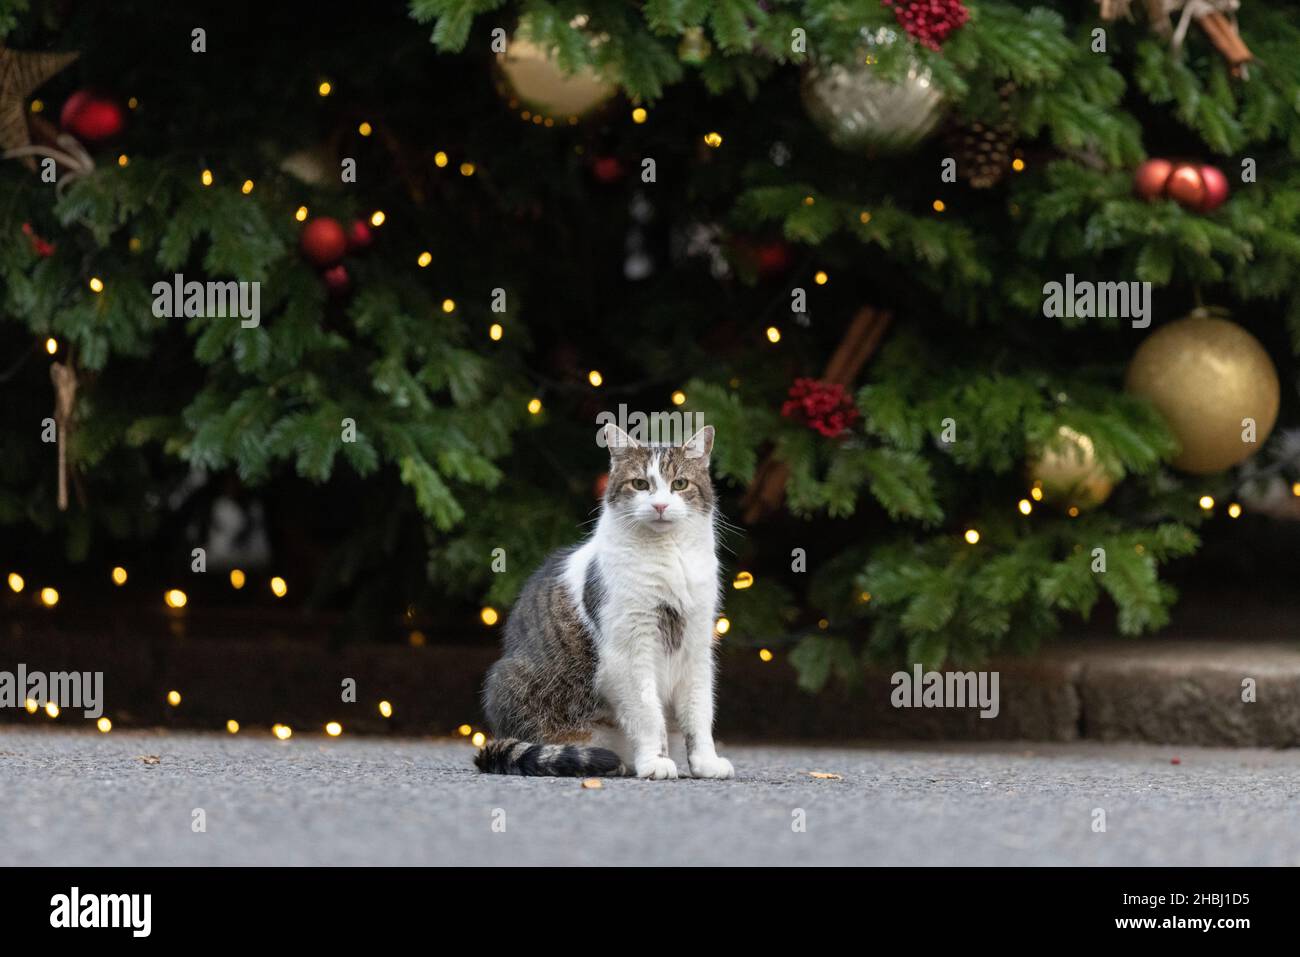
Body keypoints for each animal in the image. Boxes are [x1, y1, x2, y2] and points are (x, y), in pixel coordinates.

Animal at [473, 423, 733, 780]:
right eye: (640, 484)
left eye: (679, 484)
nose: (660, 506)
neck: (670, 556)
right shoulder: (629, 652)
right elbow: (648, 714)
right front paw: (655, 761)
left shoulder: (696, 648)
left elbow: (698, 713)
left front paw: (705, 762)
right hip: (507, 679)